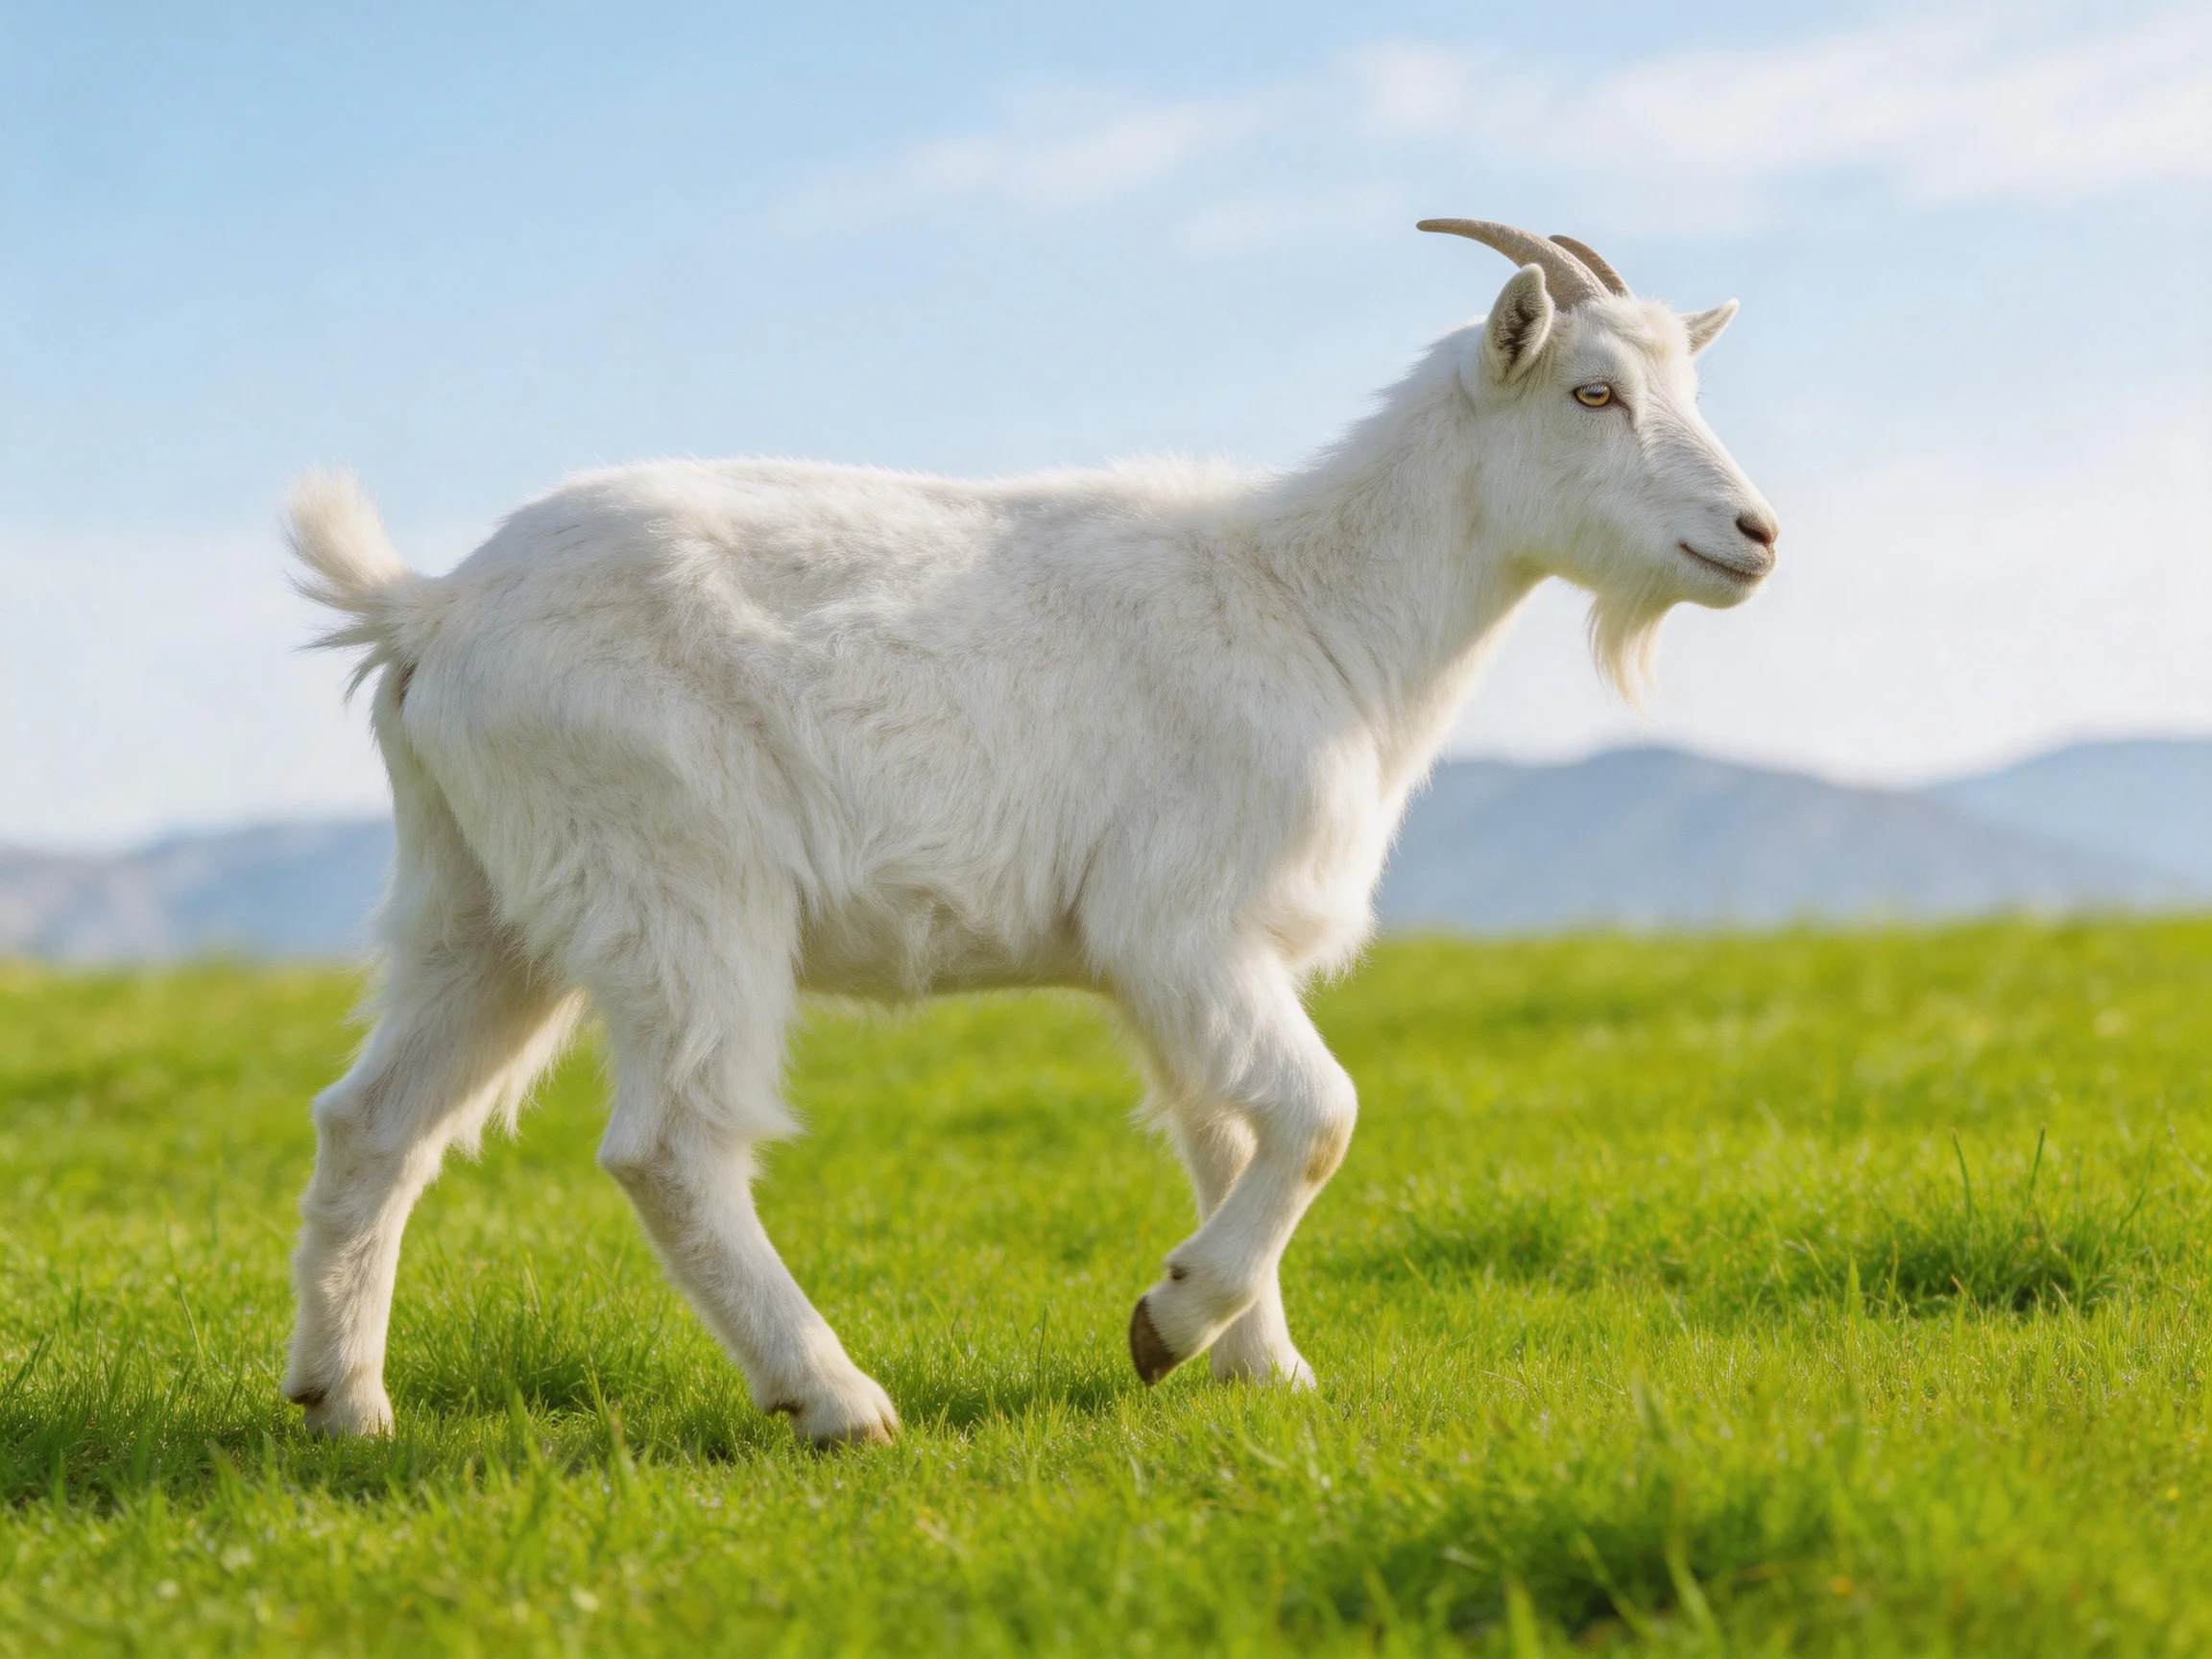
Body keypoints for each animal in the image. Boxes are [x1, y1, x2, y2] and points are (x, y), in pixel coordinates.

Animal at [282, 221, 1778, 1444]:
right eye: (1593, 392)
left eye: (1686, 387)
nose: (1755, 533)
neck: (1315, 602)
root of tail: (430, 608)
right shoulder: (1178, 926)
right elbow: (1317, 1117)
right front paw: (1172, 1323)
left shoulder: (1191, 966)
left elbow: (1227, 1131)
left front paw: (1260, 1368)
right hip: (677, 887)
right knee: (670, 1147)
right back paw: (835, 1400)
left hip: (481, 902)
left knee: (374, 1121)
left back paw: (343, 1404)